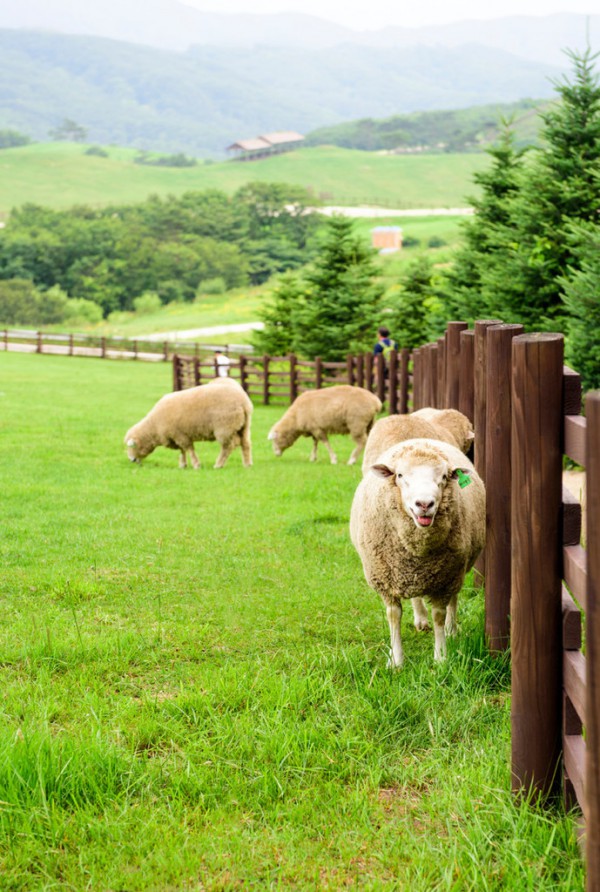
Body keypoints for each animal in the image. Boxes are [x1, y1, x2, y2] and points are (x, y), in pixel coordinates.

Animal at [350, 436, 486, 664]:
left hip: (457, 570)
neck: (417, 549)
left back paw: (451, 629)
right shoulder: (387, 580)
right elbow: (393, 615)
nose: (424, 504)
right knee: (416, 597)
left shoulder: (446, 579)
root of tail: (421, 439)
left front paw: (441, 657)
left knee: (454, 599)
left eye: (444, 476)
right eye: (400, 475)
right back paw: (421, 619)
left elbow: (439, 615)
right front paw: (396, 660)